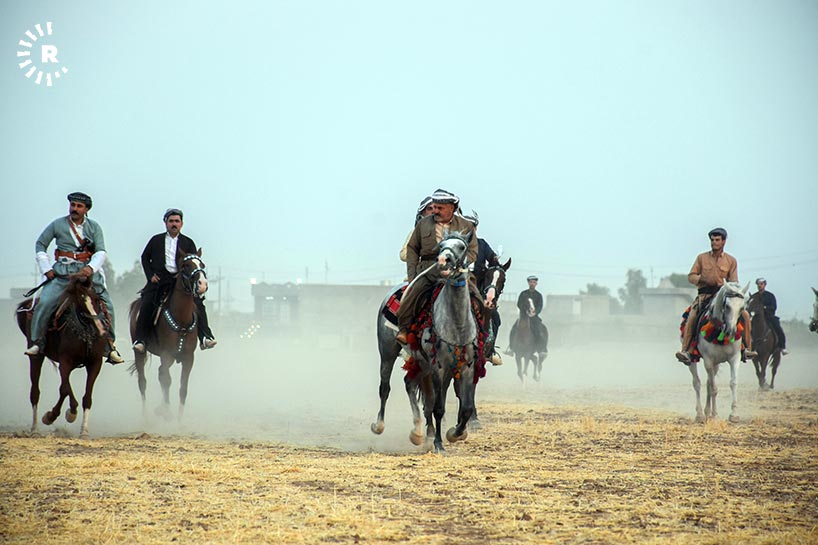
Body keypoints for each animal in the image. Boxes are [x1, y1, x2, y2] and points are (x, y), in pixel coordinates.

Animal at [16, 275, 110, 438]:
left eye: (97, 299)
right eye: (80, 301)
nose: (101, 330)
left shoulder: (95, 363)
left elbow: (86, 397)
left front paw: (84, 431)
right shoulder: (65, 362)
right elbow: (65, 389)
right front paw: (67, 414)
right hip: (37, 357)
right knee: (35, 392)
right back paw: (35, 429)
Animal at [128, 248, 208, 421]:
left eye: (202, 265)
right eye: (185, 265)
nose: (202, 284)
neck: (182, 319)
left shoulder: (188, 358)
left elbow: (183, 388)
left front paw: (179, 421)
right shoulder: (166, 354)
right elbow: (166, 380)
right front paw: (165, 410)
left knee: (160, 373)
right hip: (140, 352)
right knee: (143, 382)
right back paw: (145, 417)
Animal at [687, 282, 750, 423]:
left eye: (742, 308)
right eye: (727, 306)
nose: (731, 331)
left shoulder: (734, 358)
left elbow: (733, 383)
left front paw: (734, 414)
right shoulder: (708, 361)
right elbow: (714, 388)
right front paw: (715, 415)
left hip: (716, 364)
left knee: (708, 383)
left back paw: (707, 412)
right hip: (694, 361)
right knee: (697, 383)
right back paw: (700, 414)